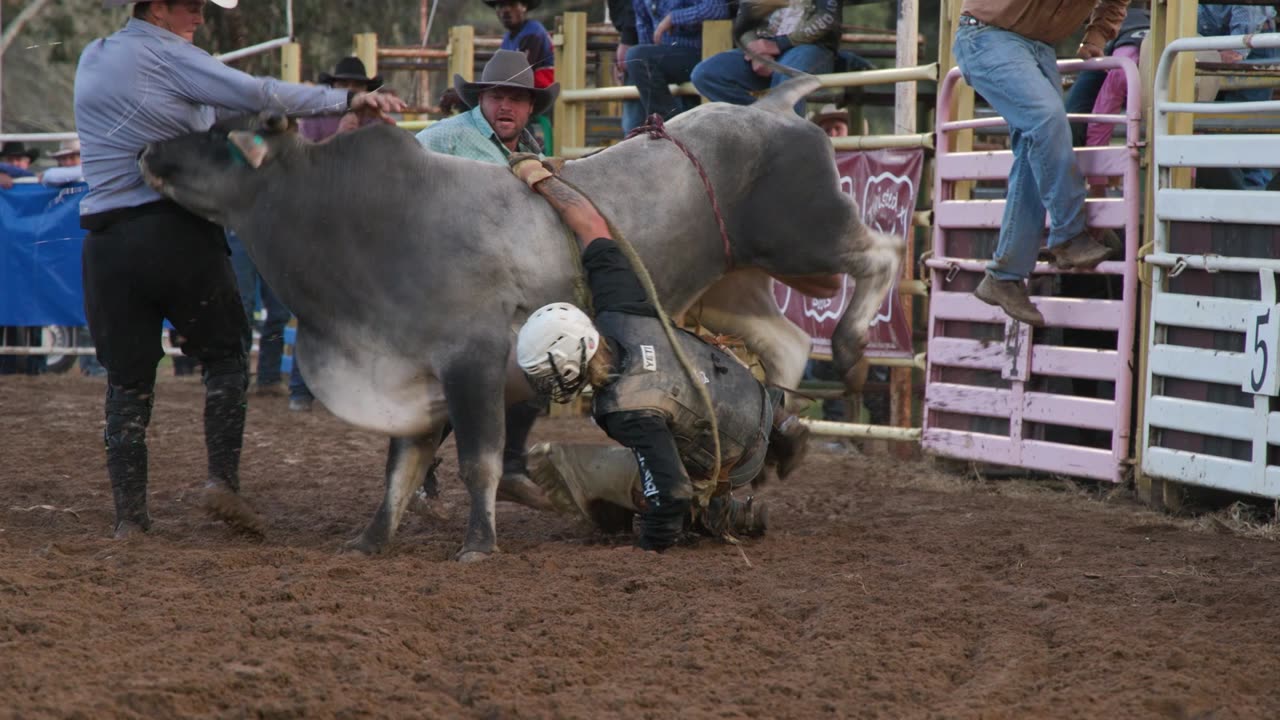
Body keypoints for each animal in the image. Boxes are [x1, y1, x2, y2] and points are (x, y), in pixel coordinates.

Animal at [137, 78, 901, 561]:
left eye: (220, 136)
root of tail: (768, 107)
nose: (148, 151)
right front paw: (370, 540)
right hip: (735, 283)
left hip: (805, 236)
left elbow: (477, 460)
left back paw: (852, 351)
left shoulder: (471, 363)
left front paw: (479, 545)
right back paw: (783, 443)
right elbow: (400, 470)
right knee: (786, 343)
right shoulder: (413, 379)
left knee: (881, 256)